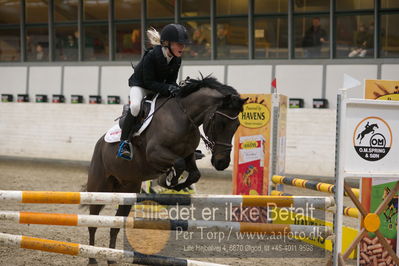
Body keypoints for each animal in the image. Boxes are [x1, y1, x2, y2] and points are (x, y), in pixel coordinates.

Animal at [86, 76, 245, 264]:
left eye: (237, 125)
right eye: (220, 123)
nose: (221, 163)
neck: (183, 115)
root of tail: (99, 144)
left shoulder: (188, 155)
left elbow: (194, 173)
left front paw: (173, 183)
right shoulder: (155, 153)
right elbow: (178, 164)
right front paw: (168, 179)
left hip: (127, 191)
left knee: (115, 225)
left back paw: (111, 258)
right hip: (99, 187)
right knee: (93, 221)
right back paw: (92, 258)